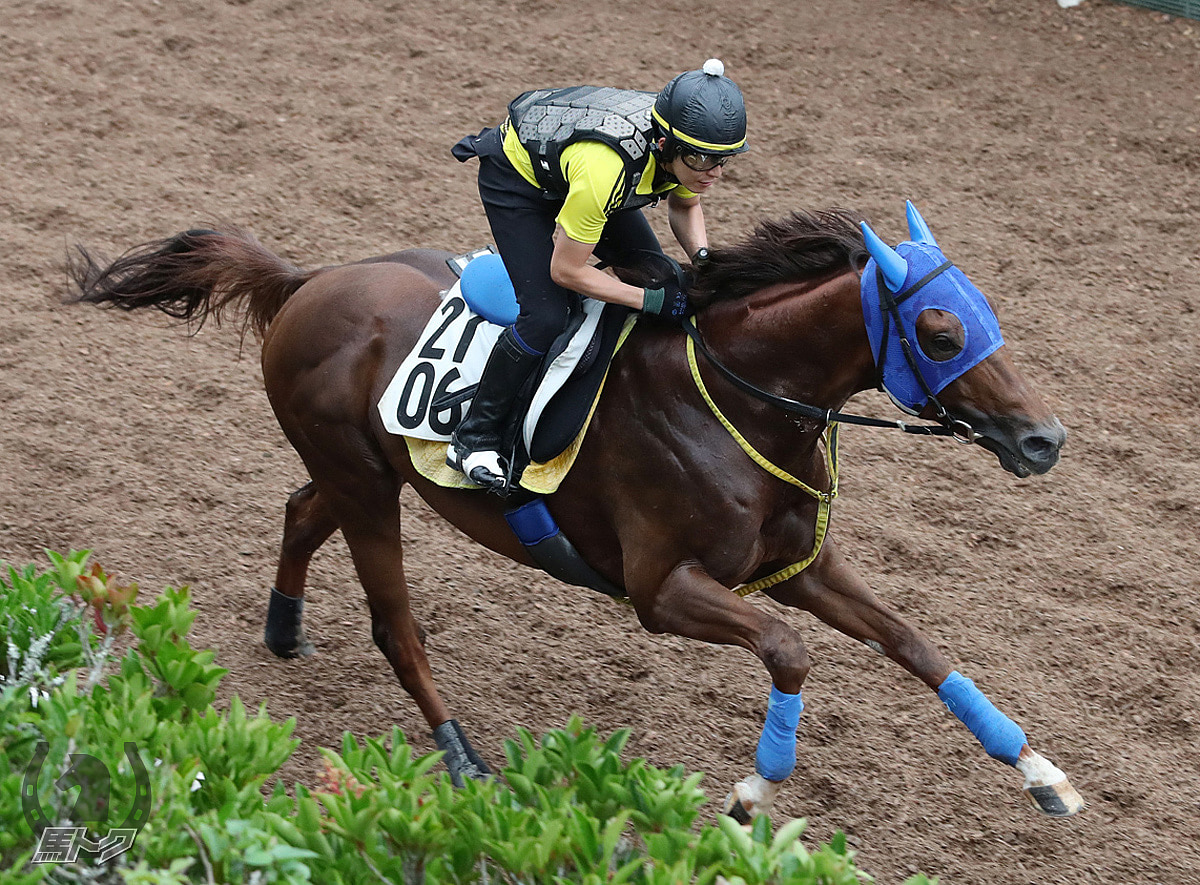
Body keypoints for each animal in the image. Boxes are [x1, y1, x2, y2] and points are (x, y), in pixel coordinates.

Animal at [68, 201, 1089, 820]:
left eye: (984, 310)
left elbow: (917, 643)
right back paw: (462, 756)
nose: (1044, 439)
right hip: (366, 486)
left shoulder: (800, 567)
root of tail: (308, 280)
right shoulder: (662, 589)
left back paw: (285, 627)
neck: (739, 398)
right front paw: (749, 797)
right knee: (396, 624)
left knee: (299, 508)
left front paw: (1041, 772)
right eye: (940, 331)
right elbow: (789, 651)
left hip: (367, 471)